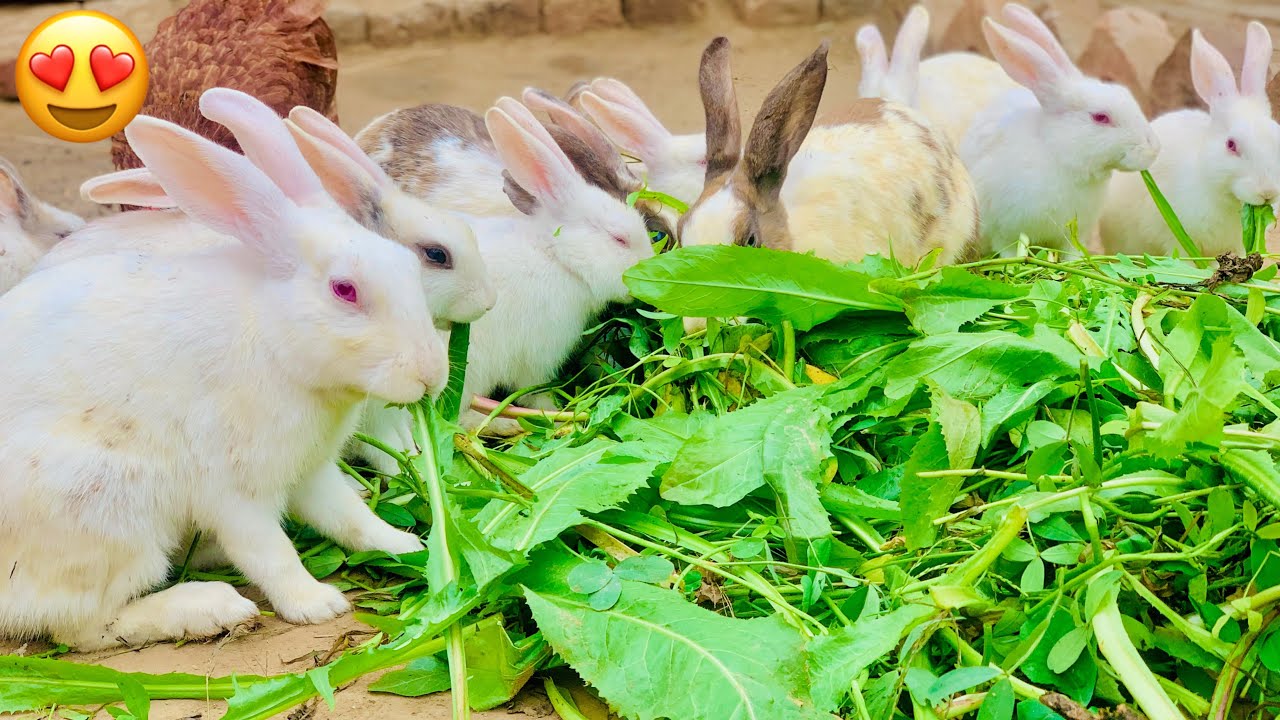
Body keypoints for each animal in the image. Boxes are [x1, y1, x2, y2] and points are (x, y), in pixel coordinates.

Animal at [959, 3, 1160, 257]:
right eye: (1101, 117)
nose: (1154, 149)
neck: (1058, 155)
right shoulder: (1005, 231)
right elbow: (1009, 251)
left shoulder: (1073, 234)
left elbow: (1071, 253)